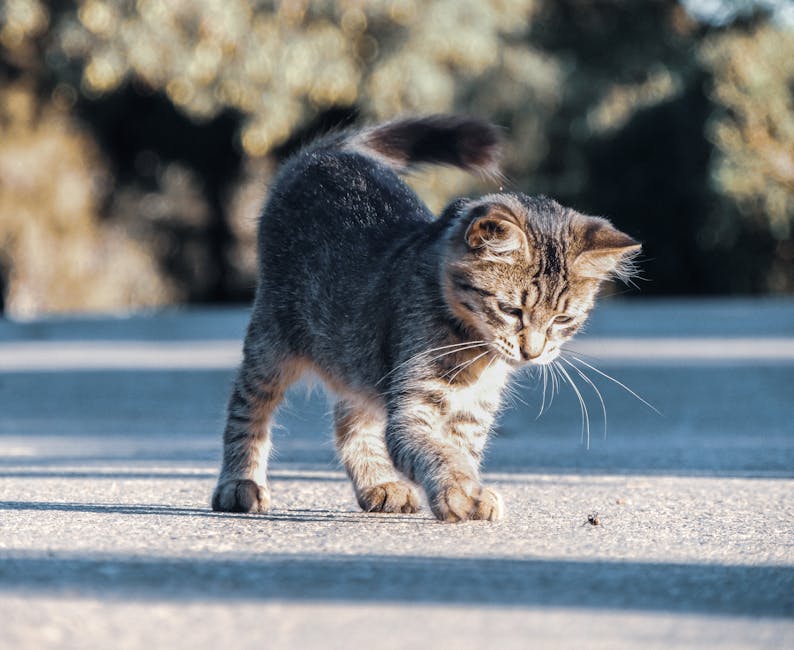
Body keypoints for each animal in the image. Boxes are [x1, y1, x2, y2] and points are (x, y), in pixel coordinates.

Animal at [209, 115, 636, 520]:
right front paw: (462, 492)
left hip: (356, 355)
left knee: (350, 418)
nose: (532, 353)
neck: (475, 356)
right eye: (511, 310)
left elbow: (459, 450)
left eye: (562, 320)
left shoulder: (472, 412)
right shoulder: (412, 405)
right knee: (248, 407)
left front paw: (466, 490)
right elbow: (437, 452)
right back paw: (239, 484)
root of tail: (327, 153)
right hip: (271, 339)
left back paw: (378, 485)